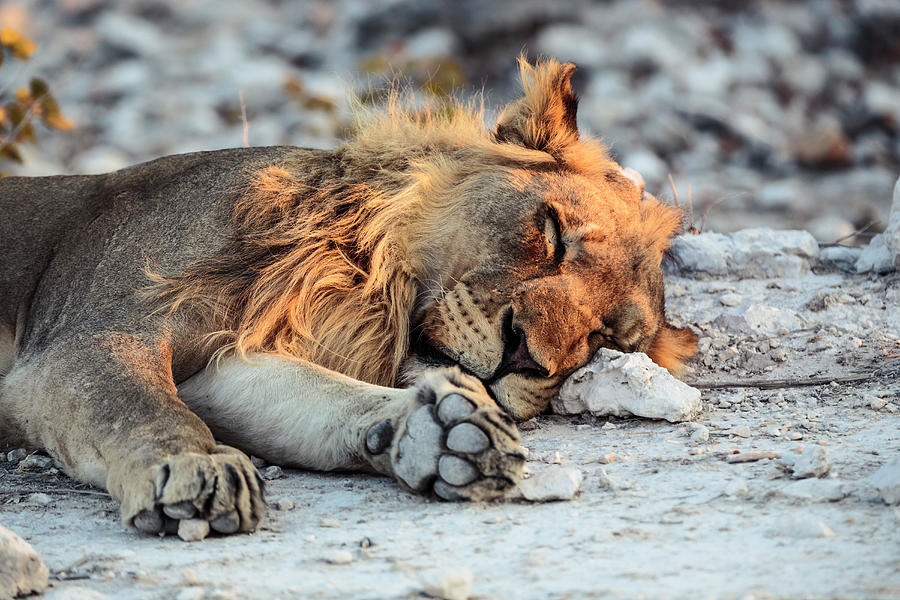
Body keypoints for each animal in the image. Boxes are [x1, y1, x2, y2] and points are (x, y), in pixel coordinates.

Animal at [0, 59, 696, 536]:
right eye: (552, 234)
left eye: (603, 337)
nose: (525, 354)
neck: (351, 272)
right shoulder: (84, 341)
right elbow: (141, 406)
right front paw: (194, 468)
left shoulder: (219, 366)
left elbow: (321, 399)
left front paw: (440, 432)